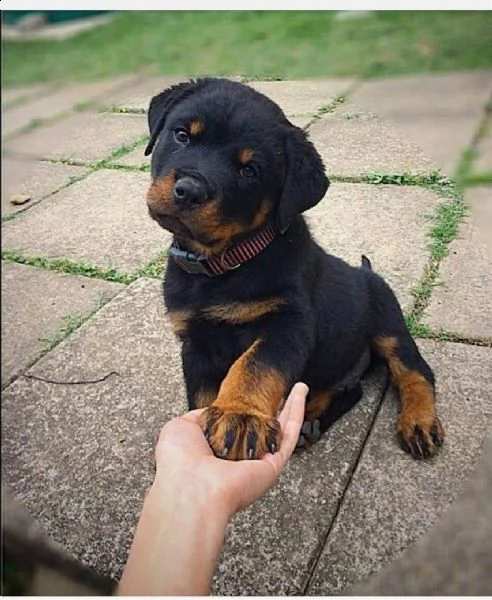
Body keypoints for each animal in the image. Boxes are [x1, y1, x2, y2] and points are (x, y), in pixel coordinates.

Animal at [144, 77, 444, 462]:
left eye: (249, 170)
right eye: (182, 135)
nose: (189, 190)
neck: (223, 264)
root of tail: (368, 273)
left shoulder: (289, 322)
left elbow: (255, 366)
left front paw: (241, 416)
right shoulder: (195, 344)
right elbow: (202, 396)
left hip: (389, 326)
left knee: (415, 371)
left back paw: (419, 423)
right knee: (351, 391)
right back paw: (308, 422)